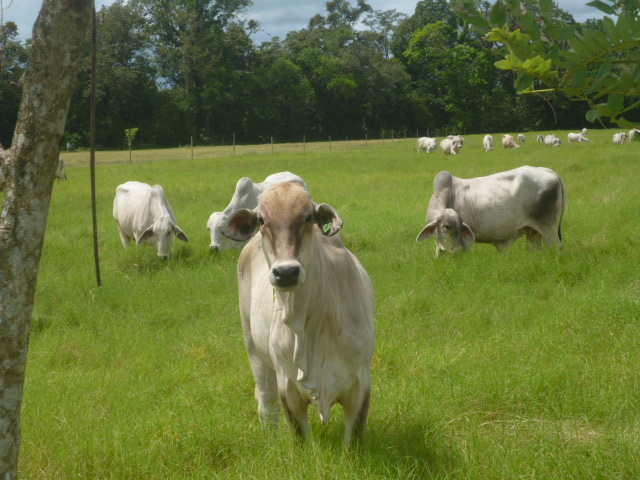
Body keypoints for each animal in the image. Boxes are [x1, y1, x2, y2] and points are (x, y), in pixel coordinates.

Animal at [224, 182, 376, 444]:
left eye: (308, 217)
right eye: (262, 220)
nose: (286, 273)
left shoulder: (360, 384)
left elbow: (353, 441)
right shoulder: (288, 386)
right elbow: (300, 438)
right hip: (253, 348)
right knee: (266, 401)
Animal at [416, 167, 564, 256]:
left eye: (460, 227)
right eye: (446, 226)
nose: (458, 251)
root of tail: (547, 171)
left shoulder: (467, 241)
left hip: (549, 229)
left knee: (556, 246)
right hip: (533, 233)